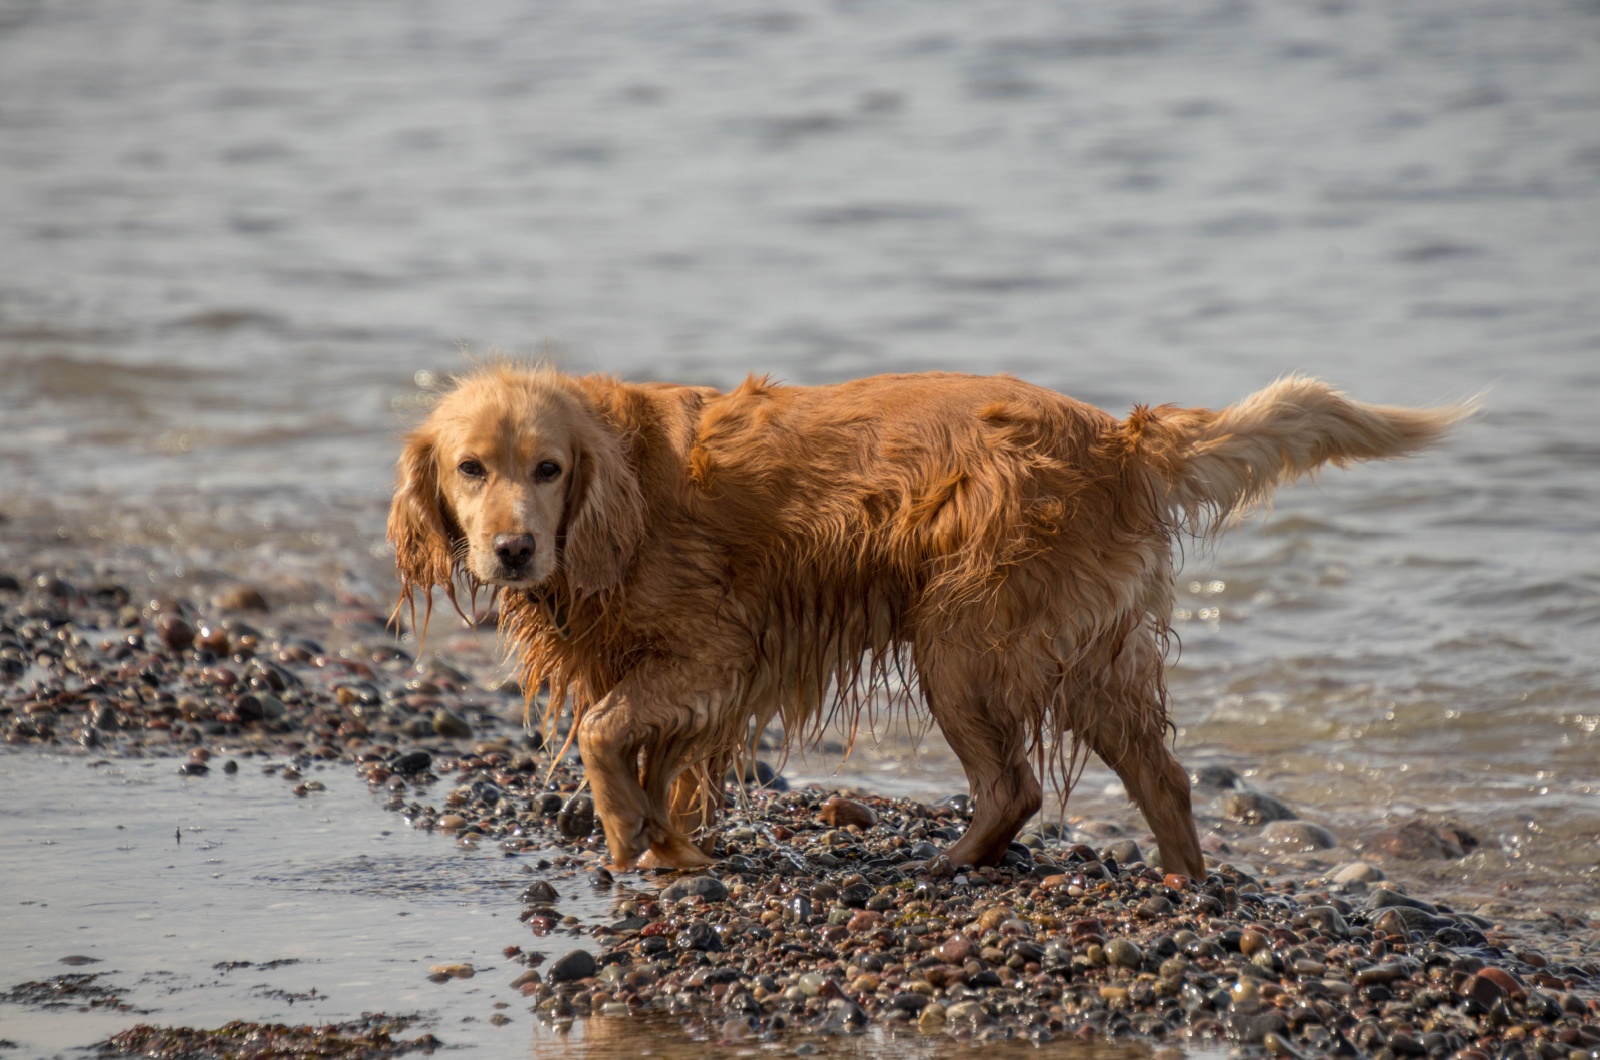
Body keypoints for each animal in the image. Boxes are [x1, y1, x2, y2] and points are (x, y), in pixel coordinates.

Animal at [387, 368, 1465, 877]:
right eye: (470, 469)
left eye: (548, 469)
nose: (511, 550)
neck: (619, 502)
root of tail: (1115, 435)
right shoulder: (687, 675)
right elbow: (654, 757)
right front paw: (667, 844)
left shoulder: (716, 647)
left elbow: (601, 728)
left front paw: (626, 834)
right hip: (1088, 656)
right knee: (1161, 776)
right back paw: (1179, 882)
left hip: (962, 641)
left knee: (1016, 784)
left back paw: (948, 859)